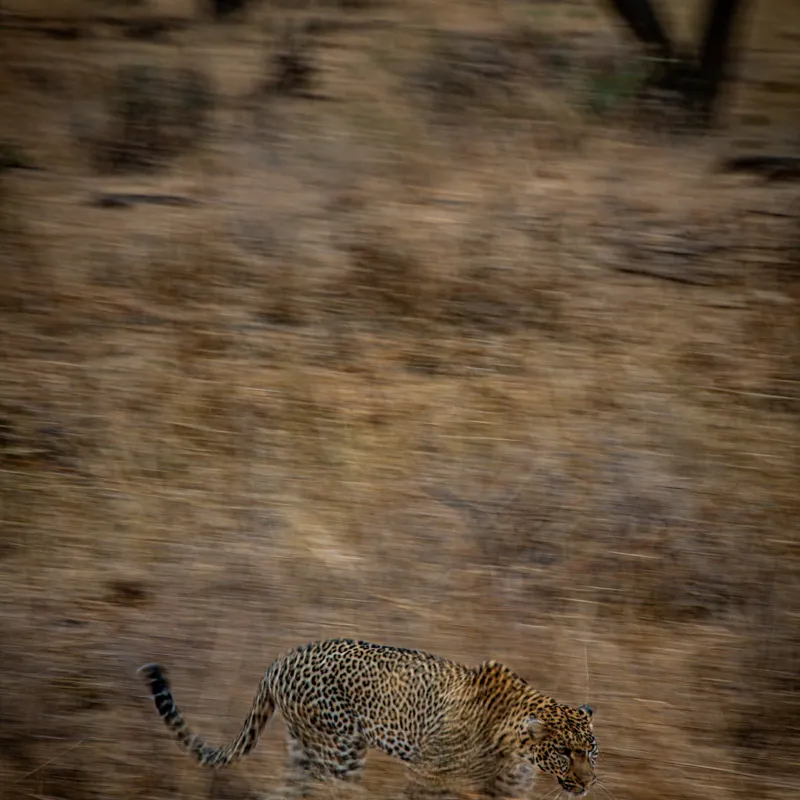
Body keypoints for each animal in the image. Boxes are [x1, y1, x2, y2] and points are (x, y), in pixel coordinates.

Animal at [139, 638, 598, 798]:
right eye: (563, 752)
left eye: (591, 751)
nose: (589, 782)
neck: (517, 747)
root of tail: (280, 660)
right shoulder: (428, 776)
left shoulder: (506, 792)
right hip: (338, 752)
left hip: (305, 750)